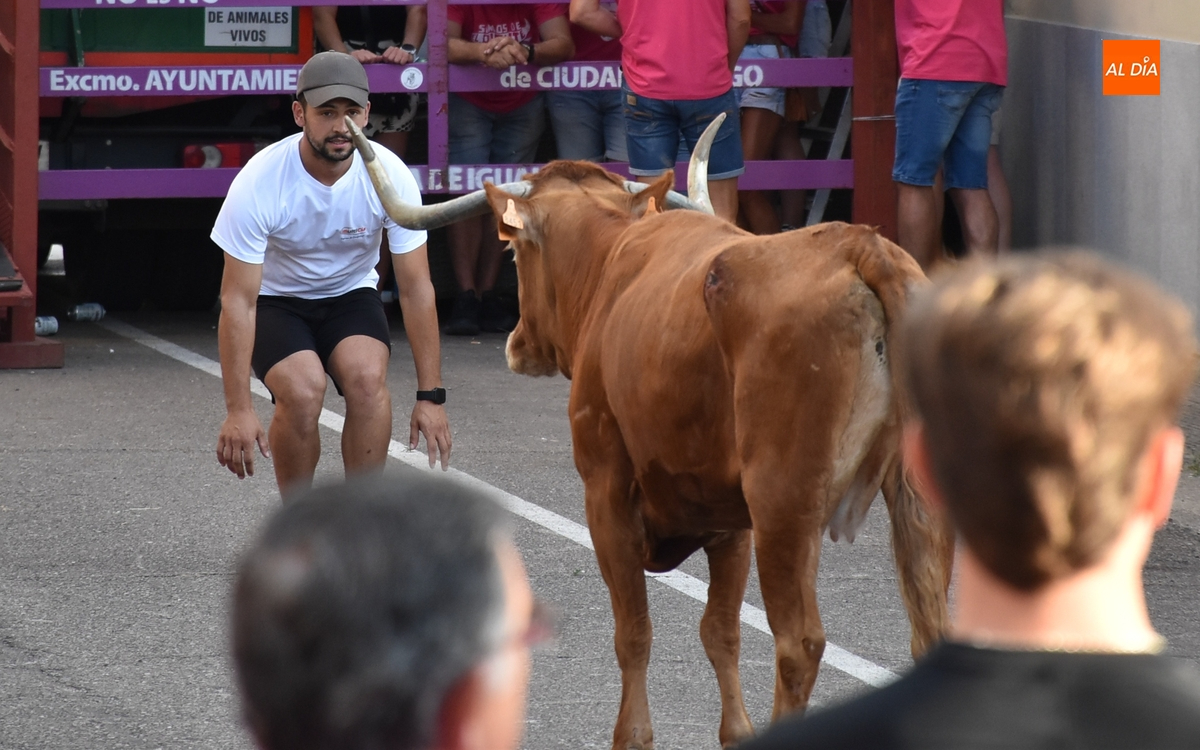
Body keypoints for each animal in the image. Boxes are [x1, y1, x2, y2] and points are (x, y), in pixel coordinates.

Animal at [348, 117, 954, 750]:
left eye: (513, 250)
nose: (515, 342)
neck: (613, 263)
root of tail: (860, 245)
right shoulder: (730, 522)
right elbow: (720, 631)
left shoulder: (606, 494)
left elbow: (633, 629)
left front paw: (633, 733)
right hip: (914, 499)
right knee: (929, 630)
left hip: (785, 502)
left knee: (799, 643)